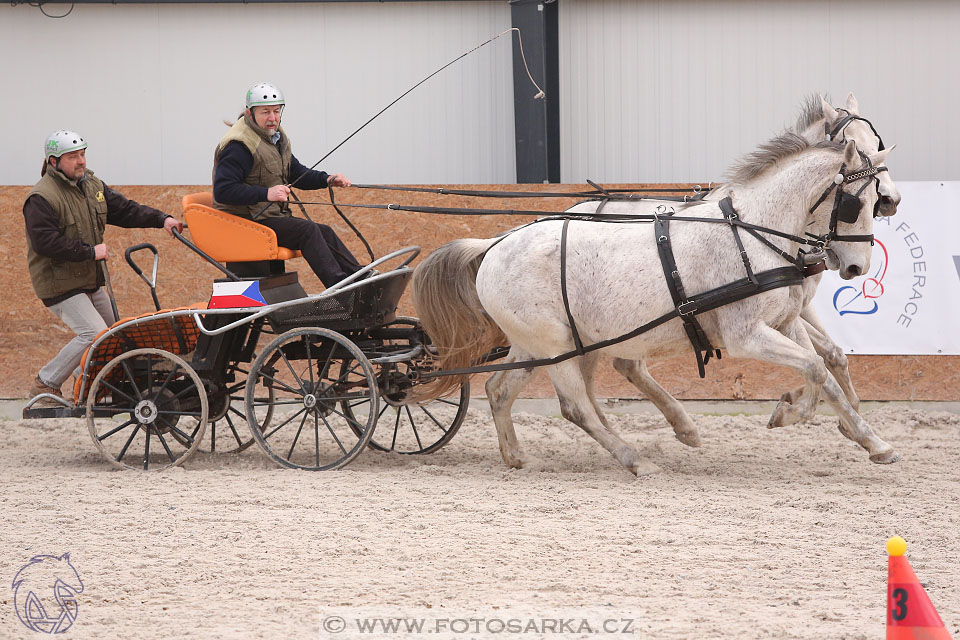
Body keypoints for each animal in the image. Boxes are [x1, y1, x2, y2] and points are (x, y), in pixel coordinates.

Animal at [416, 136, 896, 476]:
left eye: (877, 202)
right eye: (853, 204)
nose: (856, 266)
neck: (755, 232)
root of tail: (495, 243)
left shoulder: (784, 321)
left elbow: (823, 370)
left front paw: (868, 440)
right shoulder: (746, 336)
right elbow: (814, 366)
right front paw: (794, 413)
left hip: (544, 345)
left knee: (501, 391)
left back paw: (518, 456)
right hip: (555, 347)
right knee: (576, 406)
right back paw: (634, 459)